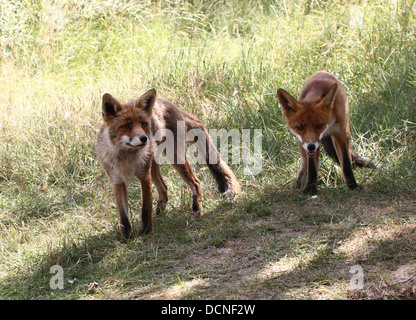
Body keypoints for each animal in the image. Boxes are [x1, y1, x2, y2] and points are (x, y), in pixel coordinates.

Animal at [96, 89, 240, 239]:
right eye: (126, 126)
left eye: (144, 124)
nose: (144, 139)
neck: (126, 158)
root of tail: (168, 104)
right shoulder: (118, 181)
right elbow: (123, 217)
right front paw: (126, 238)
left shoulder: (144, 176)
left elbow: (145, 208)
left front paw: (146, 232)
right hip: (154, 167)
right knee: (164, 188)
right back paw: (161, 210)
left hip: (174, 158)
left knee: (195, 182)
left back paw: (197, 209)